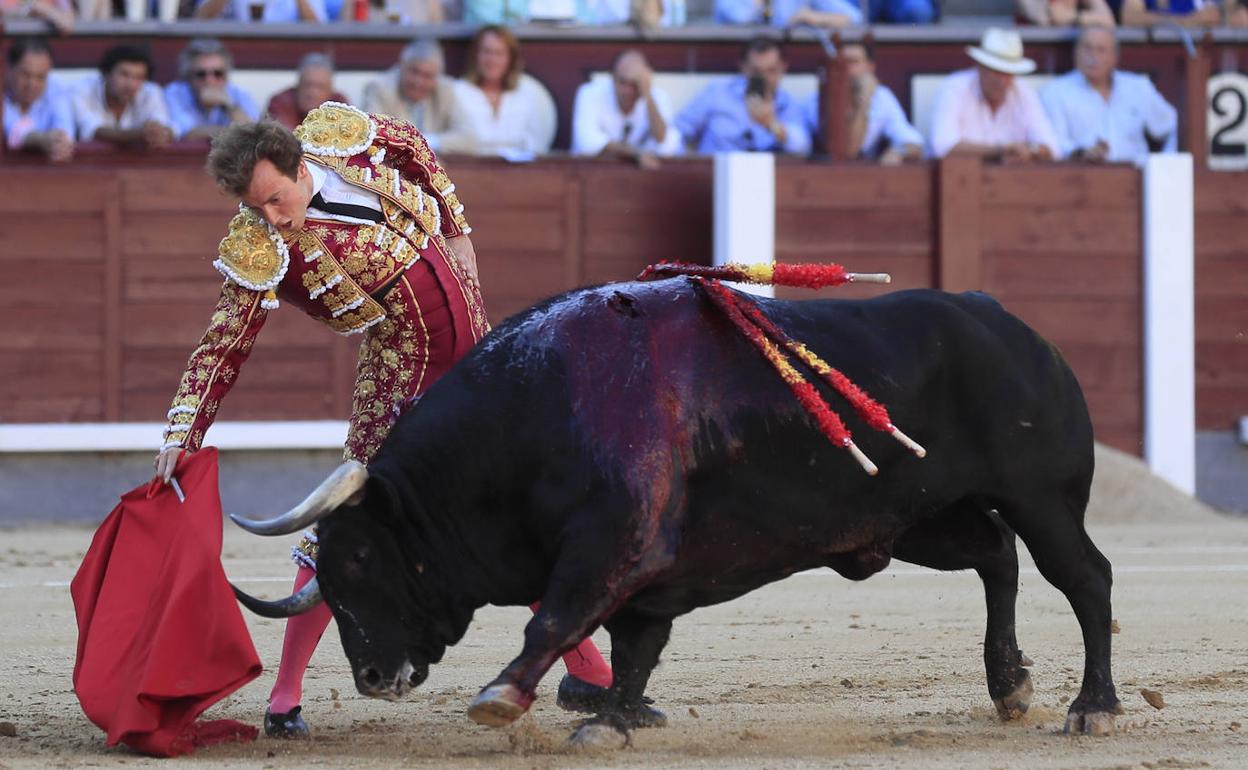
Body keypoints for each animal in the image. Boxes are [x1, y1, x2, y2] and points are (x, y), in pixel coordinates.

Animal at [234, 279, 1123, 733]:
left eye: (358, 555)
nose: (372, 676)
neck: (538, 410)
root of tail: (1017, 328)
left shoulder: (616, 540)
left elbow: (553, 620)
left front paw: (504, 698)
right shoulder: (644, 569)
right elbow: (633, 641)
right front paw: (615, 717)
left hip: (1043, 500)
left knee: (1085, 578)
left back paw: (1093, 708)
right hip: (914, 521)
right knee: (995, 555)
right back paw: (1010, 687)